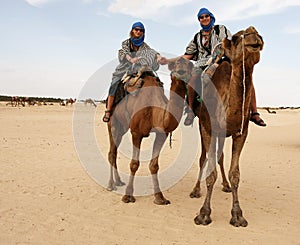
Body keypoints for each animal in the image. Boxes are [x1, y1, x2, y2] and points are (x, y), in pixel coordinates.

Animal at [106, 58, 193, 205]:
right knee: (112, 152)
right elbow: (134, 164)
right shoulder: (136, 133)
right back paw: (110, 184)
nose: (182, 69)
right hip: (112, 123)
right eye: (175, 64)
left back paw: (118, 181)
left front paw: (160, 197)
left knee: (115, 150)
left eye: (189, 65)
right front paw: (128, 196)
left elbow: (154, 165)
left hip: (123, 128)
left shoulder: (161, 134)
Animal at [191, 25, 264, 227]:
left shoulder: (241, 132)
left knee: (220, 156)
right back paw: (195, 190)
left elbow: (235, 173)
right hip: (202, 126)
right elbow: (209, 171)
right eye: (236, 37)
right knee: (203, 158)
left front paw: (237, 215)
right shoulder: (209, 128)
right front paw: (203, 214)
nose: (254, 34)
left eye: (259, 34)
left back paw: (225, 186)